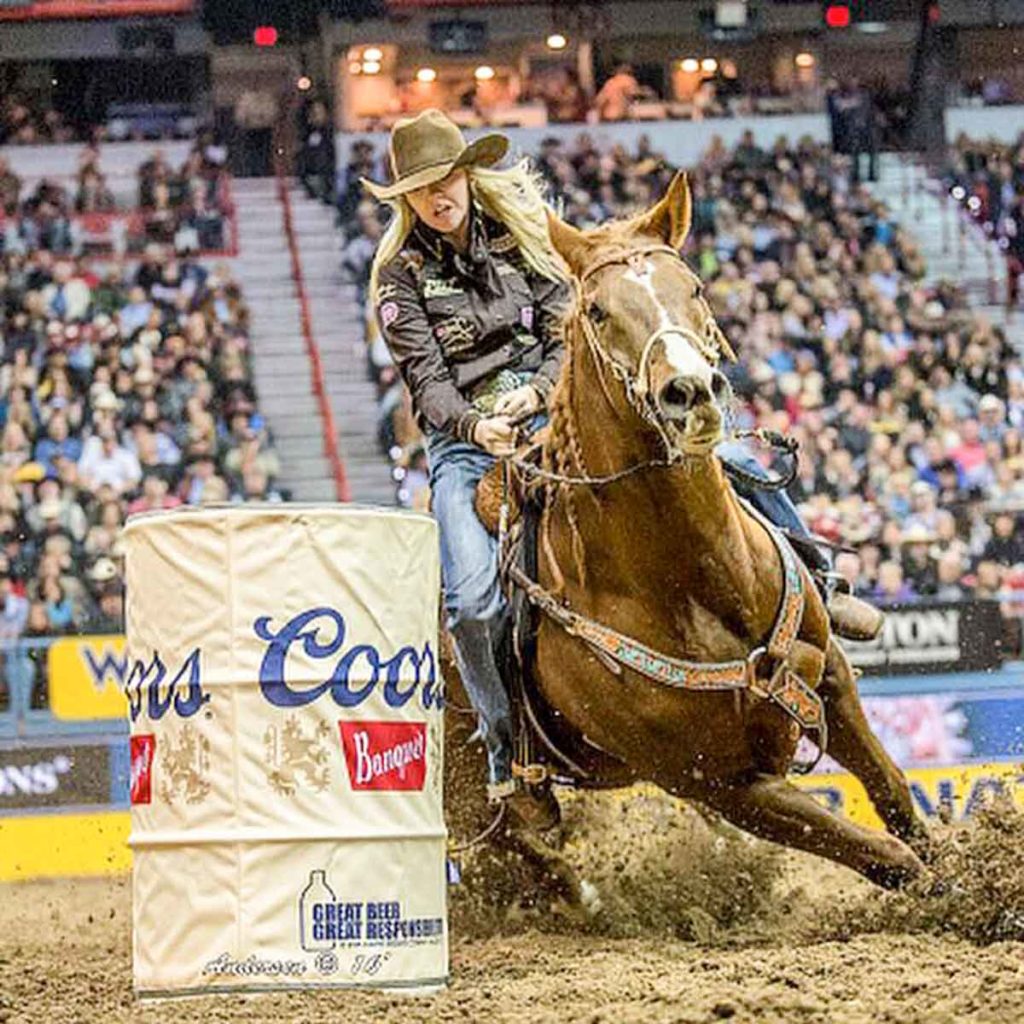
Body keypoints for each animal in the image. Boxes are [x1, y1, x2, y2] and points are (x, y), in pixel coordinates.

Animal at [479, 174, 929, 888]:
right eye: (598, 311)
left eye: (691, 285)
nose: (691, 390)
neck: (697, 583)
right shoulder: (723, 785)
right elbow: (887, 857)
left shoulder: (829, 674)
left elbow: (893, 796)